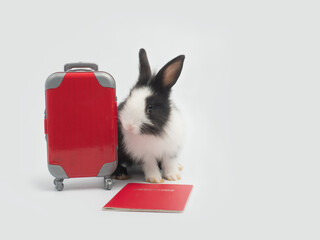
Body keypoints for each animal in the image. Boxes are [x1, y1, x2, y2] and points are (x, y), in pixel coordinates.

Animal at [114, 48, 185, 184]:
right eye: (128, 97)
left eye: (150, 108)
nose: (128, 126)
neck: (152, 133)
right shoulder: (145, 154)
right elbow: (150, 165)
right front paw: (155, 179)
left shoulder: (170, 150)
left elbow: (169, 163)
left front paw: (173, 176)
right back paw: (120, 174)